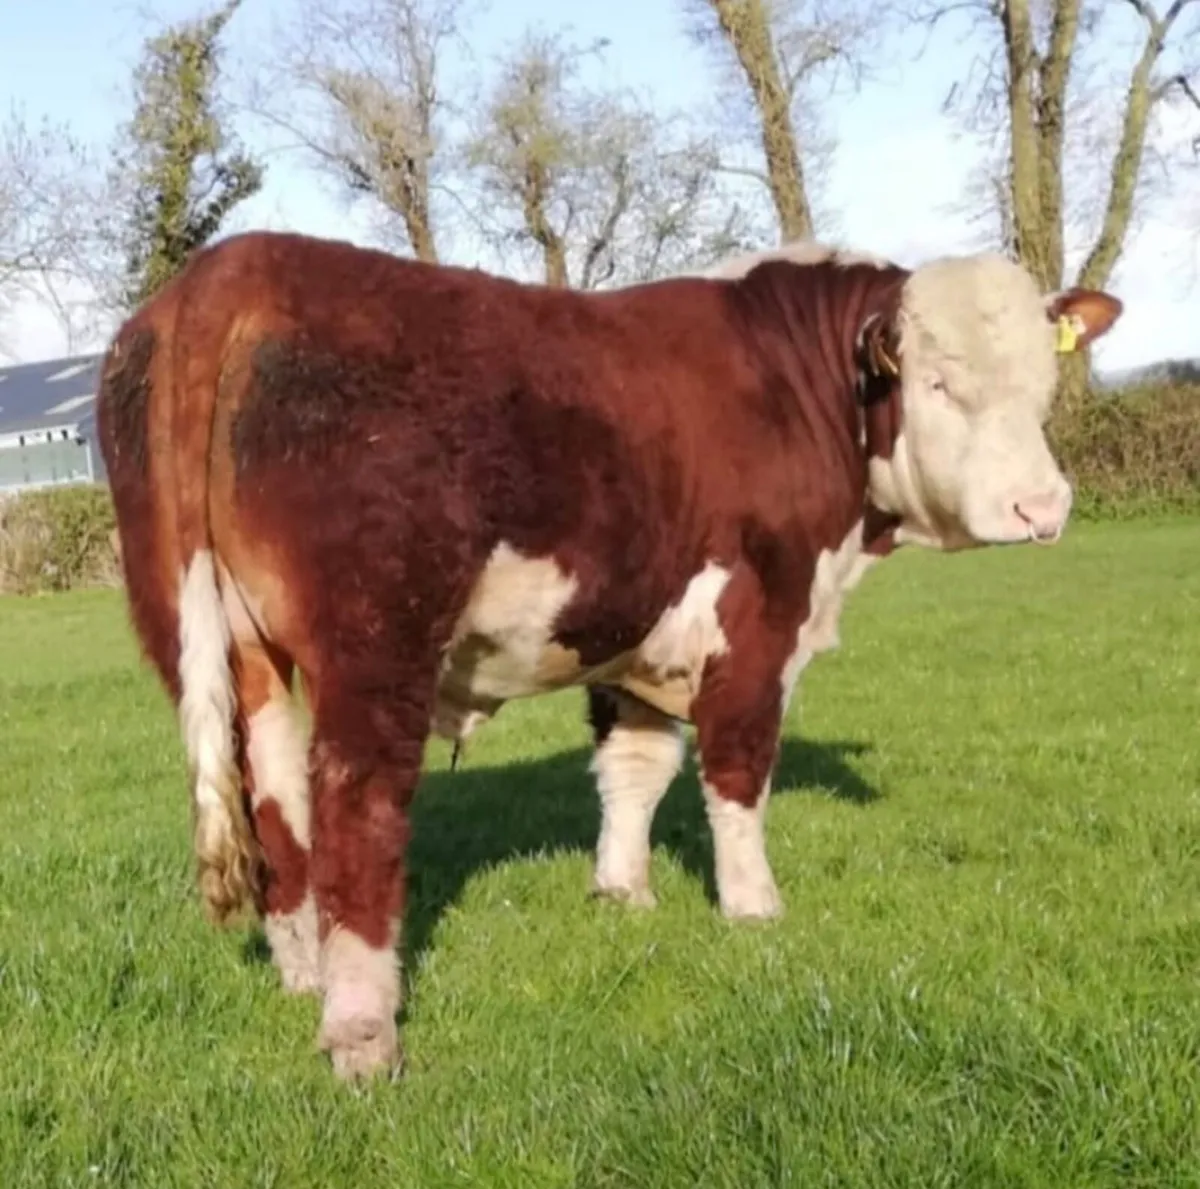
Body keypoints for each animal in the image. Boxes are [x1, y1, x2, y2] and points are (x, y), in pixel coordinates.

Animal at [96, 230, 1121, 1079]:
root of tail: (233, 267)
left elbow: (637, 765)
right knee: (358, 812)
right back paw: (363, 1034)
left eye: (1043, 388)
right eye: (941, 385)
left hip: (225, 644)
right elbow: (737, 769)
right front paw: (753, 907)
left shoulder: (640, 636)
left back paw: (303, 975)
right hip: (374, 644)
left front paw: (622, 891)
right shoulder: (761, 617)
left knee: (278, 811)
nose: (1042, 507)